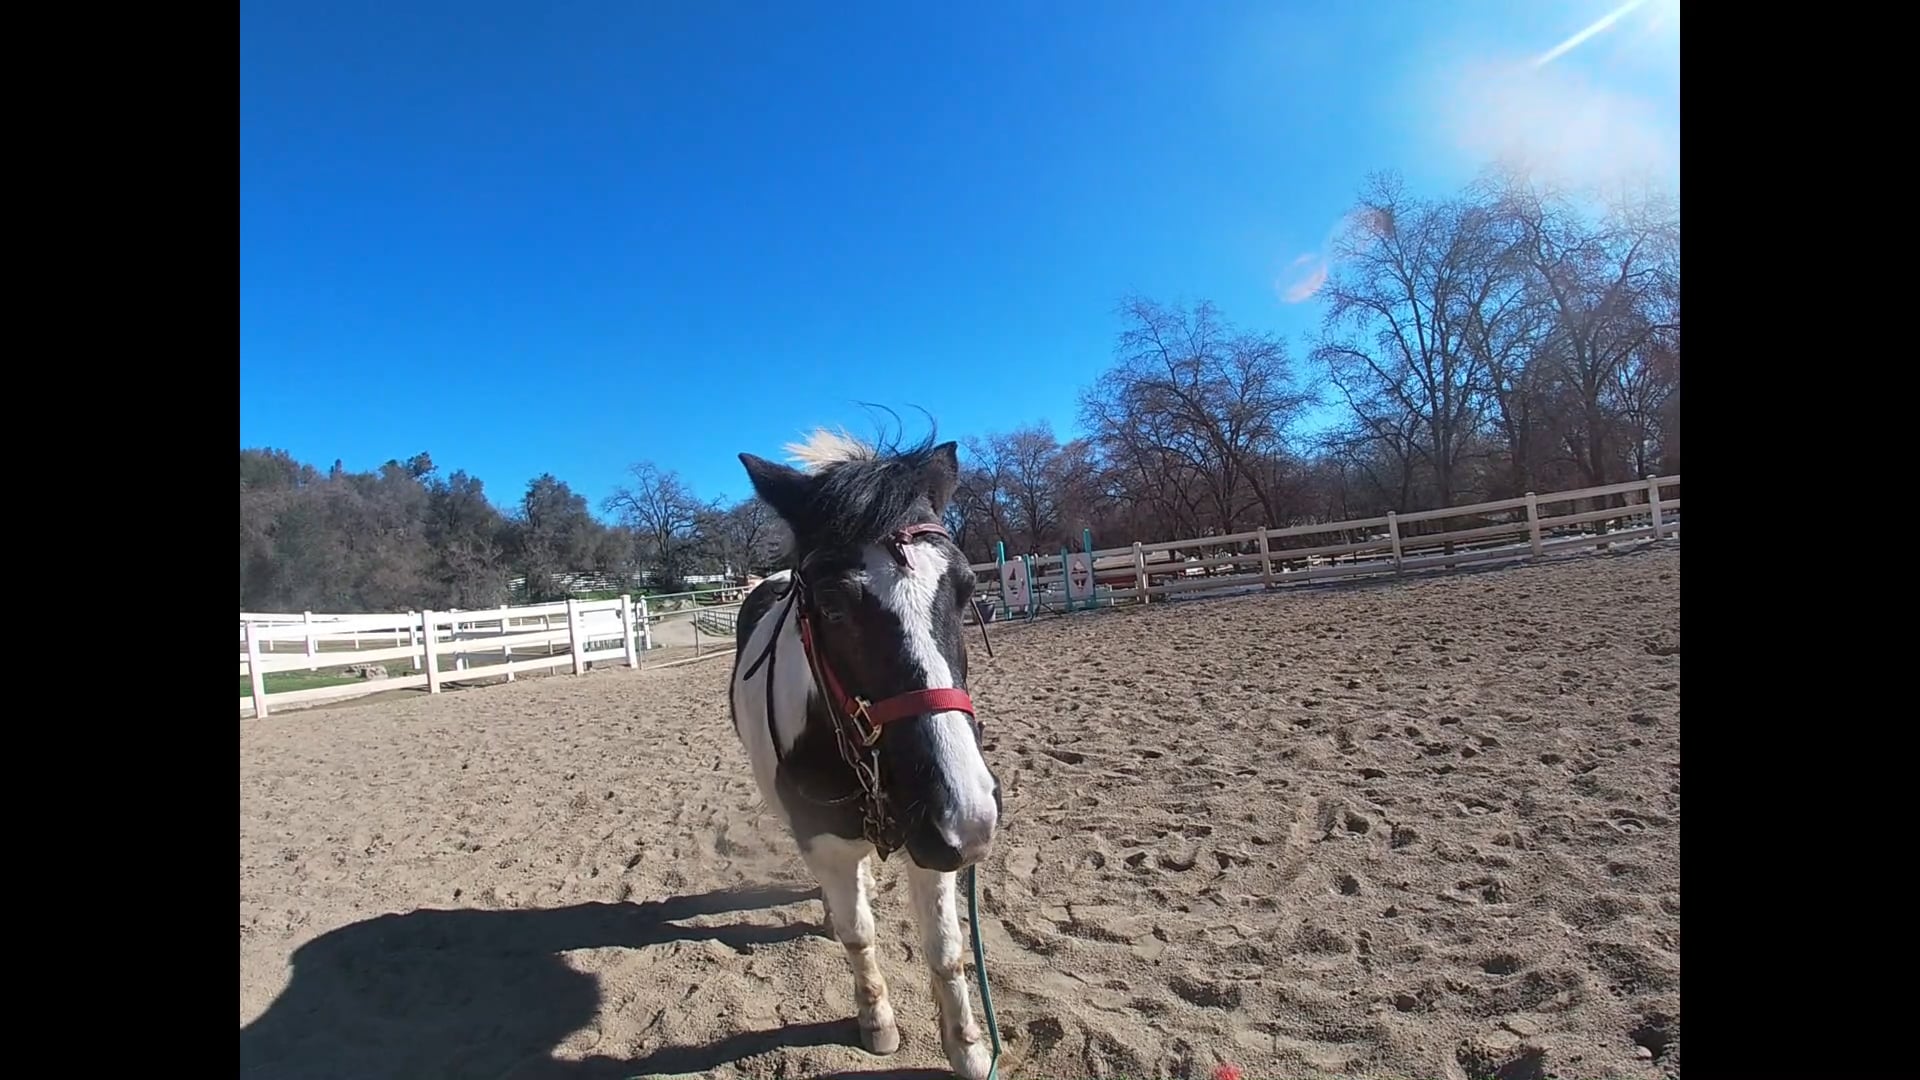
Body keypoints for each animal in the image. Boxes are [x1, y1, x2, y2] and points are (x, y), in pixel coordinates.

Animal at [728, 428, 1003, 1080]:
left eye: (966, 590)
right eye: (830, 605)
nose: (972, 813)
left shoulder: (935, 841)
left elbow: (946, 948)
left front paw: (968, 1046)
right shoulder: (827, 840)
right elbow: (857, 933)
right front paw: (876, 1021)